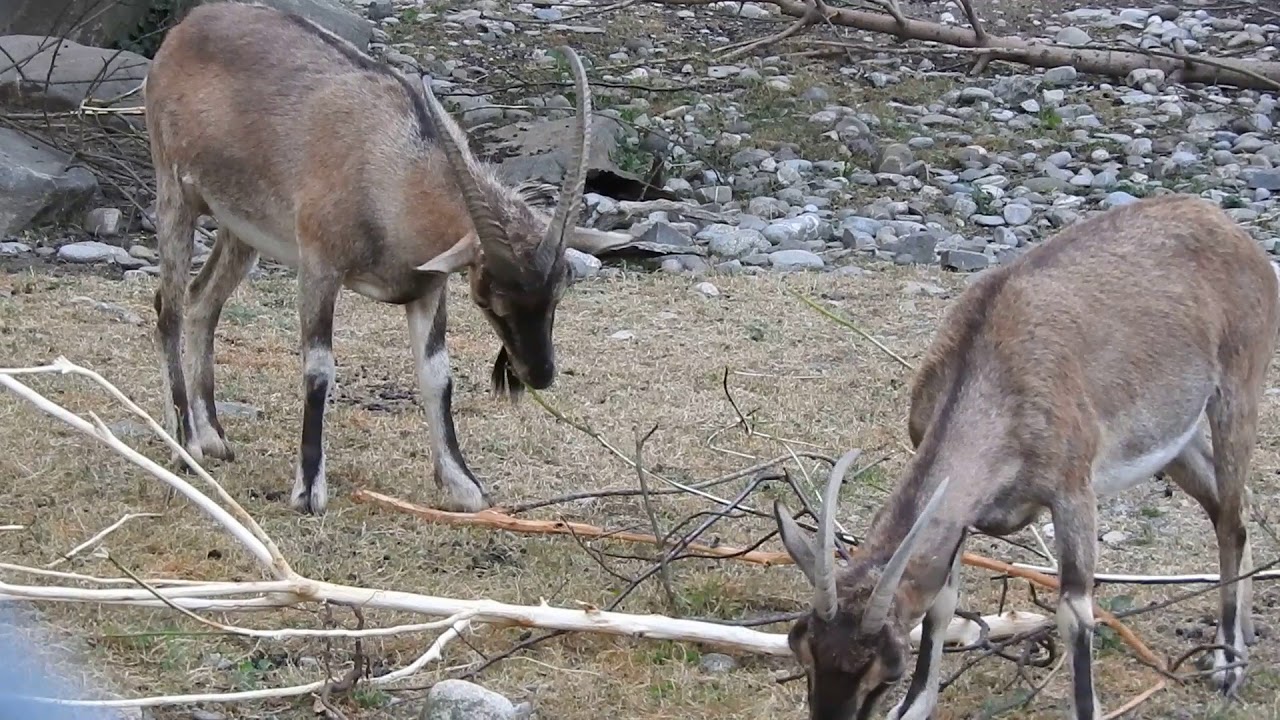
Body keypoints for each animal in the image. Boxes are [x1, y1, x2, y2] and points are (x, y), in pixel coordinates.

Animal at [143, 1, 595, 515]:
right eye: (490, 299)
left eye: (557, 293)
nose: (538, 374)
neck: (388, 165)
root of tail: (187, 28)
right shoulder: (320, 266)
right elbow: (319, 368)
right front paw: (309, 491)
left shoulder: (428, 287)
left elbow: (437, 375)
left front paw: (463, 485)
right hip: (175, 193)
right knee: (169, 309)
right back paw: (184, 444)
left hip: (240, 229)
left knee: (202, 300)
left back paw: (213, 437)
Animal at [773, 194, 1279, 720]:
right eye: (801, 646)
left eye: (887, 667)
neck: (990, 372)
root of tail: (1230, 229)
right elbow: (942, 599)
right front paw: (914, 706)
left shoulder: (1073, 489)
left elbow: (1075, 612)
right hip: (1174, 439)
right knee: (1228, 506)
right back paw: (1240, 637)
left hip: (1238, 391)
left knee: (1231, 519)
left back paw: (1228, 664)